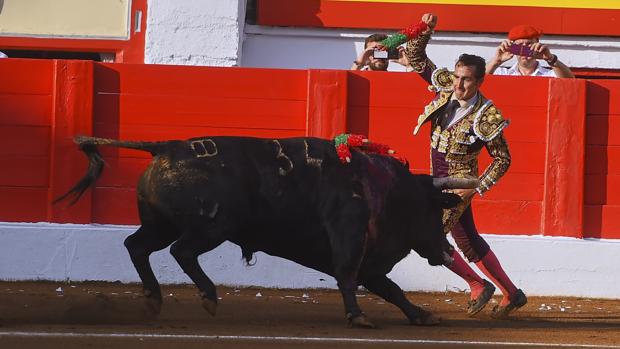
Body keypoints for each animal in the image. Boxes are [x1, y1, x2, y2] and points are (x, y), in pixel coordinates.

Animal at [57, 135, 480, 326]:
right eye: (433, 210)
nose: (445, 251)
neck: (385, 189)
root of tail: (167, 146)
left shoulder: (371, 263)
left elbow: (392, 289)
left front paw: (421, 315)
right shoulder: (350, 242)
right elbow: (348, 278)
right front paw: (358, 317)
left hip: (160, 224)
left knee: (137, 246)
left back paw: (153, 298)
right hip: (213, 227)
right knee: (182, 251)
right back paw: (208, 296)